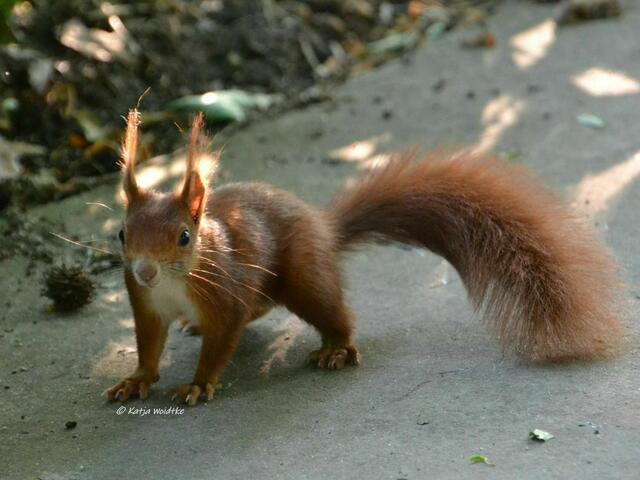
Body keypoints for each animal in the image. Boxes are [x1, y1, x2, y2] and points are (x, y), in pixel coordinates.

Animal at [106, 110, 625, 406]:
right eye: (122, 233)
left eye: (184, 237)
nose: (145, 270)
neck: (174, 285)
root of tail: (323, 227)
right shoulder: (144, 304)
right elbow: (149, 342)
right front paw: (137, 378)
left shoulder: (223, 292)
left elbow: (222, 339)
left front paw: (198, 384)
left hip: (304, 277)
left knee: (330, 312)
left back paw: (337, 348)